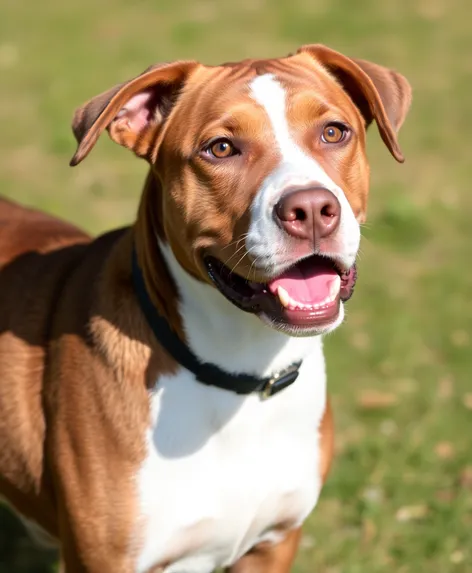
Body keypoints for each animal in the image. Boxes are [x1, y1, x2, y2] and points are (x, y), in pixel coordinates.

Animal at [0, 42, 412, 568]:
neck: (241, 374)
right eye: (220, 148)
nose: (312, 209)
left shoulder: (273, 545)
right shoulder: (107, 560)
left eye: (334, 132)